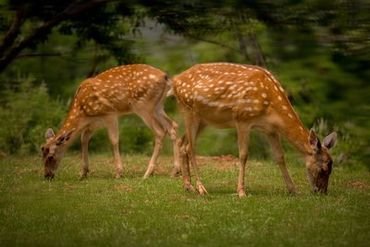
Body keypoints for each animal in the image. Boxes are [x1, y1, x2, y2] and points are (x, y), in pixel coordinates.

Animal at [41, 63, 181, 179]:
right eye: (41, 155)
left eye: (51, 156)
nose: (47, 175)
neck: (82, 112)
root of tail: (166, 77)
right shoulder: (94, 123)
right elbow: (84, 139)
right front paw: (83, 172)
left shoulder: (110, 113)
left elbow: (113, 140)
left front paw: (119, 173)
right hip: (158, 106)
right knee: (172, 125)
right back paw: (175, 171)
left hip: (144, 106)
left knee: (160, 131)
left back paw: (147, 173)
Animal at [172, 63, 336, 197]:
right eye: (323, 169)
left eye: (331, 168)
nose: (322, 192)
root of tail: (175, 80)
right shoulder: (242, 119)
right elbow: (243, 155)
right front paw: (241, 192)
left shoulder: (271, 130)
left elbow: (280, 157)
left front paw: (293, 190)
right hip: (189, 110)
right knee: (191, 148)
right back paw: (201, 188)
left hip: (204, 119)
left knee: (182, 143)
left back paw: (188, 186)